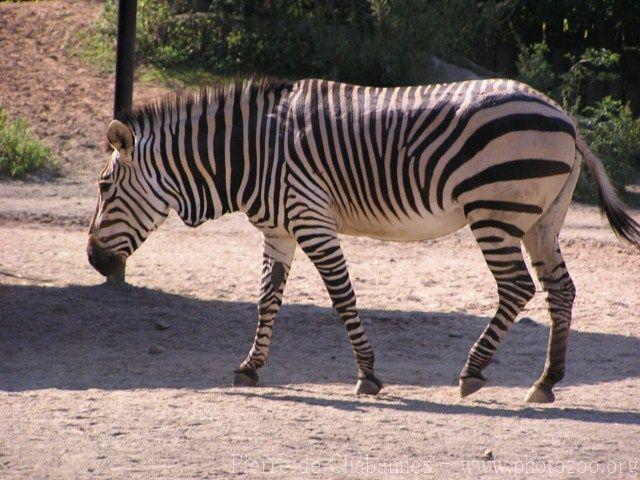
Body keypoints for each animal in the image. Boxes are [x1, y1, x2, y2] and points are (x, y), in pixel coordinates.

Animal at [86, 78, 640, 402]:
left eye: (104, 187)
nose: (93, 260)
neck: (253, 153)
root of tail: (564, 116)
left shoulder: (312, 219)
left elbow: (342, 296)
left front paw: (368, 375)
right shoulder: (279, 231)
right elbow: (267, 300)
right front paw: (250, 367)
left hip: (495, 212)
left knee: (518, 288)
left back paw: (473, 372)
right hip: (541, 220)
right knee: (560, 290)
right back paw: (546, 382)